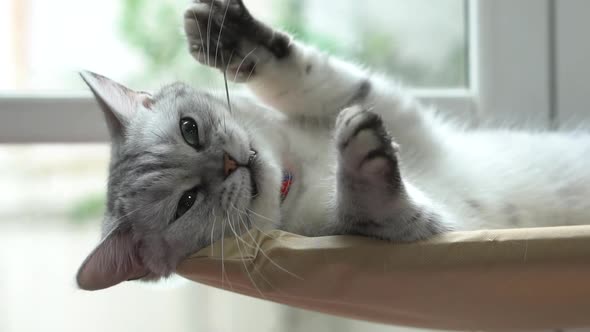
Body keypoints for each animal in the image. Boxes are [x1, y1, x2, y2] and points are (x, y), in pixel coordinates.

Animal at [75, 0, 590, 290]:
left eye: (189, 129)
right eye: (185, 202)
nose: (228, 163)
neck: (304, 169)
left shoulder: (380, 104)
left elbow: (310, 76)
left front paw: (229, 32)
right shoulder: (432, 231)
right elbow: (379, 208)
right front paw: (361, 159)